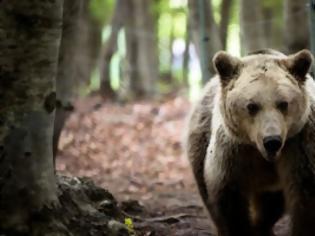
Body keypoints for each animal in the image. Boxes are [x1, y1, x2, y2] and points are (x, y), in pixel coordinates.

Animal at [184, 48, 315, 236]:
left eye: (283, 103)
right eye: (252, 106)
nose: (272, 141)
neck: (259, 151)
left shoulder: (299, 144)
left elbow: (305, 197)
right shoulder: (233, 151)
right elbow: (229, 199)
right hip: (201, 136)